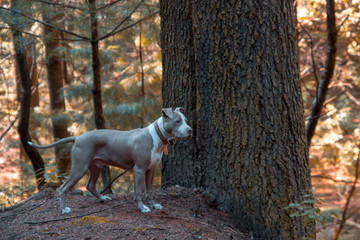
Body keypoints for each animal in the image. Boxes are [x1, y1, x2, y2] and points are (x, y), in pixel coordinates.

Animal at [28, 107, 193, 214]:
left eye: (185, 120)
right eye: (177, 121)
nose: (190, 130)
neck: (157, 137)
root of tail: (78, 137)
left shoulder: (150, 170)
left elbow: (150, 190)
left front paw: (154, 205)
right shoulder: (139, 170)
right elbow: (139, 192)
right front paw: (142, 208)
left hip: (96, 167)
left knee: (90, 185)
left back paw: (102, 198)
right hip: (79, 168)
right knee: (63, 188)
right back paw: (64, 209)